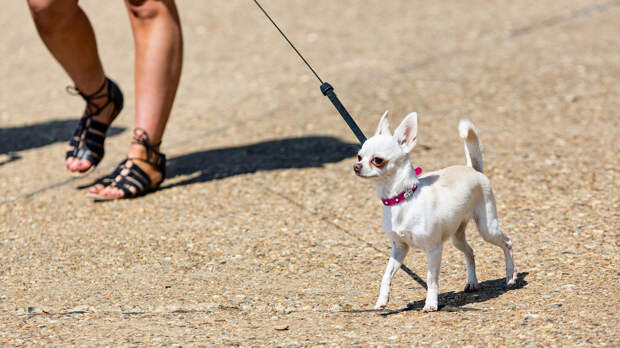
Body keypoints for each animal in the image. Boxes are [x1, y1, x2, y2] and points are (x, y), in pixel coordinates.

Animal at [354, 112, 520, 312]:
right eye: (359, 156)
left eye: (377, 160)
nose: (356, 166)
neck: (402, 199)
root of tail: (473, 169)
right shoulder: (399, 248)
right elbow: (386, 275)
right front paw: (382, 300)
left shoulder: (433, 249)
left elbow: (431, 279)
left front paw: (431, 303)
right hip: (457, 237)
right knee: (470, 252)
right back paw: (472, 282)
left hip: (488, 228)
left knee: (507, 242)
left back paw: (511, 276)